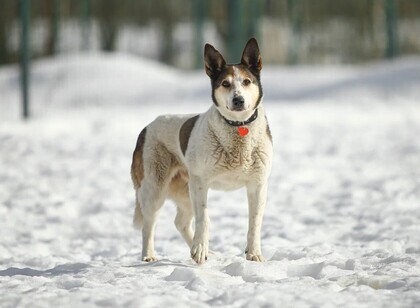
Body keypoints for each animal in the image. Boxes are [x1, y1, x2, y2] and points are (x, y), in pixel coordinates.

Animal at [131, 38, 272, 264]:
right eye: (225, 84)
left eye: (247, 81)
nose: (238, 100)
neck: (237, 127)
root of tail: (146, 128)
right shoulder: (200, 182)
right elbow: (204, 218)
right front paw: (199, 249)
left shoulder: (258, 184)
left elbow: (254, 223)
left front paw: (254, 254)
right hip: (155, 186)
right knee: (149, 223)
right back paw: (149, 255)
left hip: (183, 190)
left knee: (180, 222)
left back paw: (205, 251)